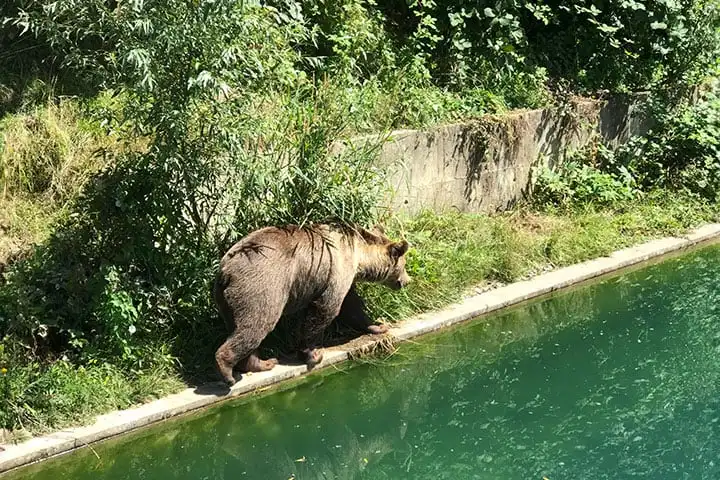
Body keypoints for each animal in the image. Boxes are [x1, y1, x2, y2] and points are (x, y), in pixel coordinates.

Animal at [213, 224, 411, 386]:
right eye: (404, 264)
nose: (407, 281)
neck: (359, 256)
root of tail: (225, 271)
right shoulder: (335, 270)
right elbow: (326, 309)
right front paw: (313, 354)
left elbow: (352, 306)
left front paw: (379, 326)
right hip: (262, 286)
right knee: (257, 324)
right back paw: (228, 372)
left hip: (226, 300)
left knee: (243, 328)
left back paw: (263, 363)